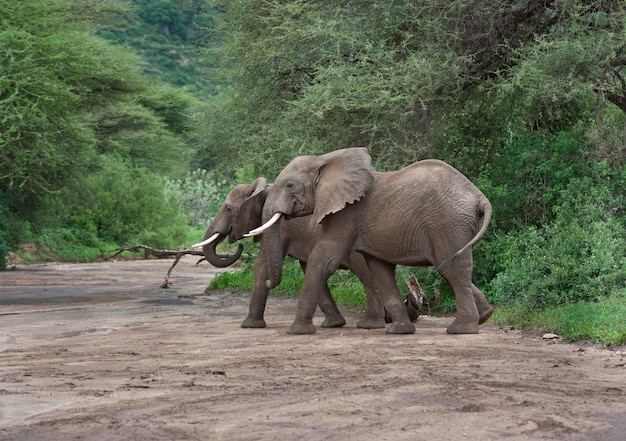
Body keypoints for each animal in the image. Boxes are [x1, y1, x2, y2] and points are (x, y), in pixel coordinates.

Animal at [193, 177, 402, 328]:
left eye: (228, 209)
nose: (240, 246)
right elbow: (309, 269)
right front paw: (333, 324)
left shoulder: (282, 228)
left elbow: (262, 264)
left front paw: (249, 326)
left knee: (367, 277)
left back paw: (373, 324)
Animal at [244, 147, 492, 334]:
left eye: (290, 185)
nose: (270, 281)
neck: (325, 161)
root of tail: (479, 196)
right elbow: (380, 271)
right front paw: (399, 331)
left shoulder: (345, 214)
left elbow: (323, 259)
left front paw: (297, 331)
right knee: (453, 268)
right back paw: (482, 317)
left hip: (447, 223)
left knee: (452, 270)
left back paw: (461, 330)